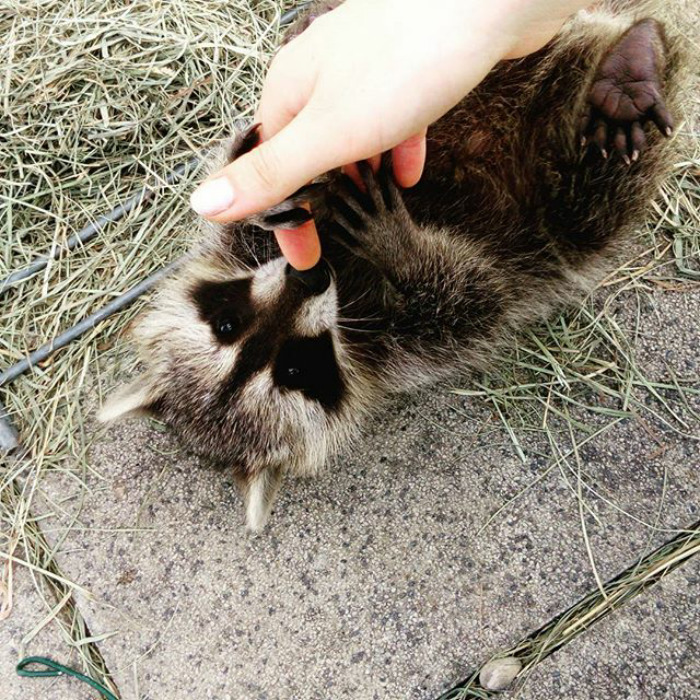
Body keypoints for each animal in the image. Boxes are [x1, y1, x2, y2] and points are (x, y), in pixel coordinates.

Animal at [100, 0, 687, 530]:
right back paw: (627, 75)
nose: (307, 277)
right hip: (560, 197)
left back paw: (635, 58)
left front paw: (268, 185)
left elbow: (242, 197)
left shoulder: (252, 253)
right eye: (295, 368)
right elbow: (474, 298)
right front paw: (402, 249)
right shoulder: (398, 350)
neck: (340, 269)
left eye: (228, 325)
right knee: (593, 200)